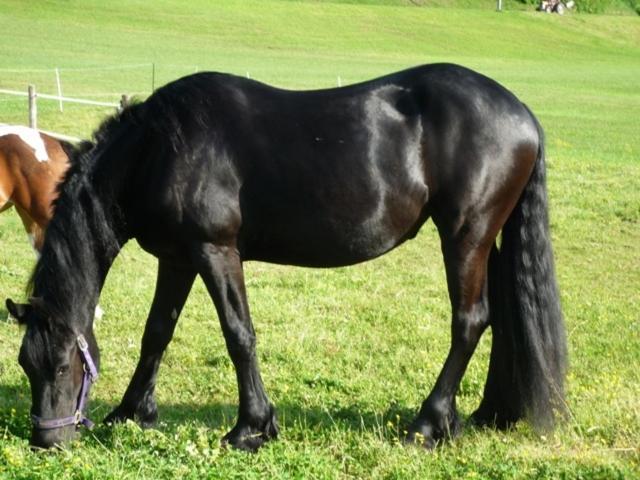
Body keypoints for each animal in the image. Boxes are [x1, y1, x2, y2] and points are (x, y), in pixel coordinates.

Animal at [5, 63, 564, 450]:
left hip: (465, 236)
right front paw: (130, 412)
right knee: (501, 319)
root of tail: (521, 113)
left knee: (470, 321)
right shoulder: (178, 258)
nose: (46, 440)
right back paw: (488, 414)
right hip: (487, 240)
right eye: (25, 364)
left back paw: (428, 424)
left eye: (61, 366)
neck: (160, 148)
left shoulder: (215, 251)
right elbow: (156, 333)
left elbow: (239, 334)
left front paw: (251, 428)